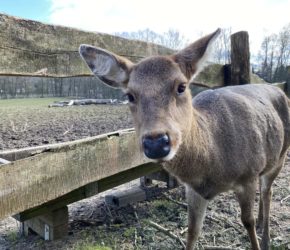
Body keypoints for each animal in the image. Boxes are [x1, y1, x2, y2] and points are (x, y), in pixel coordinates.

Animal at [79, 28, 290, 249]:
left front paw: (258, 239)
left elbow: (247, 222)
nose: (156, 143)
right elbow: (192, 231)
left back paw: (266, 237)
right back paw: (262, 222)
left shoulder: (248, 174)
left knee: (268, 192)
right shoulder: (193, 190)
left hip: (281, 155)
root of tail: (279, 89)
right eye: (129, 95)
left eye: (181, 86)